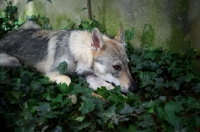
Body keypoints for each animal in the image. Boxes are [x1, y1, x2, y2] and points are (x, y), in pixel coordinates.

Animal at [0, 21, 136, 94]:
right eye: (116, 67)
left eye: (128, 64)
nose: (134, 88)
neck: (76, 55)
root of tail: (4, 37)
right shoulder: (52, 72)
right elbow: (67, 80)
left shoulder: (89, 76)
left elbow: (108, 87)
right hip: (14, 62)